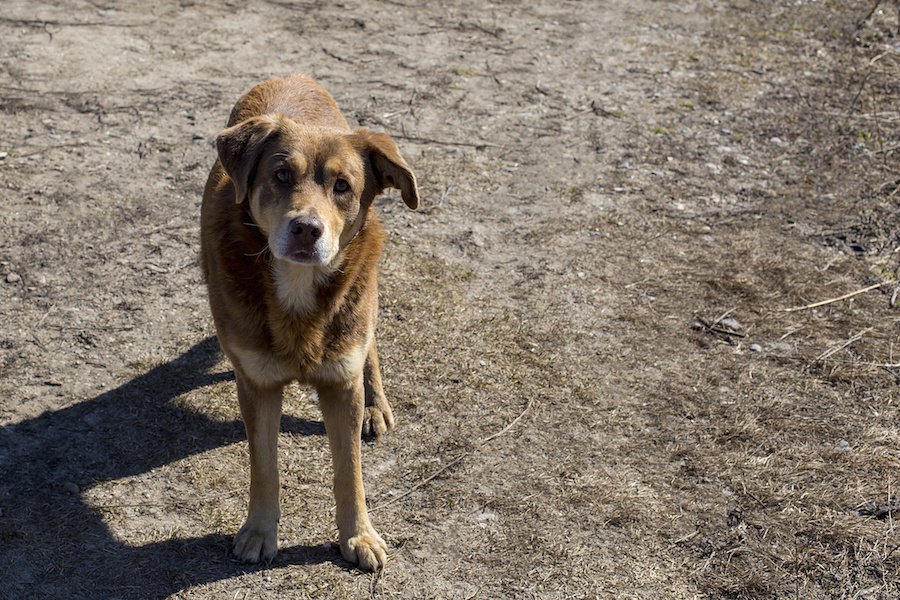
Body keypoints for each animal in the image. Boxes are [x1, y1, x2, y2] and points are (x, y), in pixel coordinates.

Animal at [200, 75, 418, 572]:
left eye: (343, 185)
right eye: (281, 174)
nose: (306, 229)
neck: (297, 290)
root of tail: (293, 78)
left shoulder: (340, 383)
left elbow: (349, 471)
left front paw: (359, 536)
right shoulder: (257, 386)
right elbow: (264, 466)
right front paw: (259, 532)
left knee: (370, 342)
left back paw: (376, 404)